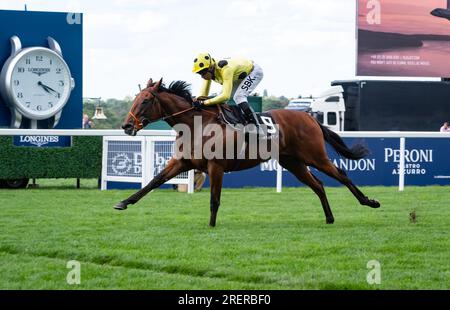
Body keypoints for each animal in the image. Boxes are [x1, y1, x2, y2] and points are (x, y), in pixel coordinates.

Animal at [116, 77, 380, 226]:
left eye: (146, 100)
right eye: (136, 98)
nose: (127, 126)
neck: (197, 124)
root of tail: (309, 117)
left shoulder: (216, 167)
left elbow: (214, 199)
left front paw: (211, 225)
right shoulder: (181, 162)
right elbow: (152, 182)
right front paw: (124, 202)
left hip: (314, 155)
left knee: (341, 175)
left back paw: (369, 201)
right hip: (293, 162)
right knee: (318, 185)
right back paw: (329, 218)